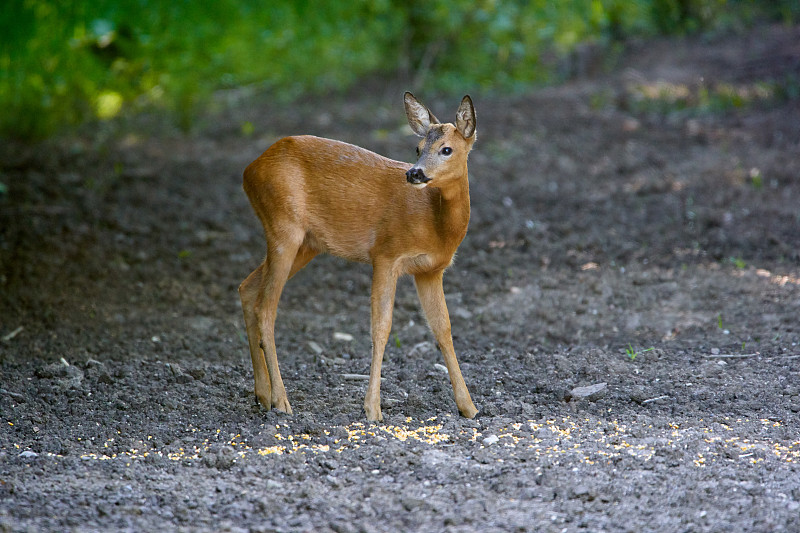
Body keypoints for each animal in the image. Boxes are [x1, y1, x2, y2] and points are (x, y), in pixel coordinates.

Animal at [236, 93, 476, 422]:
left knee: (247, 288)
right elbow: (381, 327)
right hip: (283, 227)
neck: (434, 223)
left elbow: (443, 329)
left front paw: (469, 407)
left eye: (446, 149)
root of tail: (249, 170)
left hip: (306, 244)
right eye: (417, 148)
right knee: (266, 308)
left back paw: (261, 395)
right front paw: (372, 409)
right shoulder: (386, 254)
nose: (414, 172)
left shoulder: (430, 270)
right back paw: (281, 401)